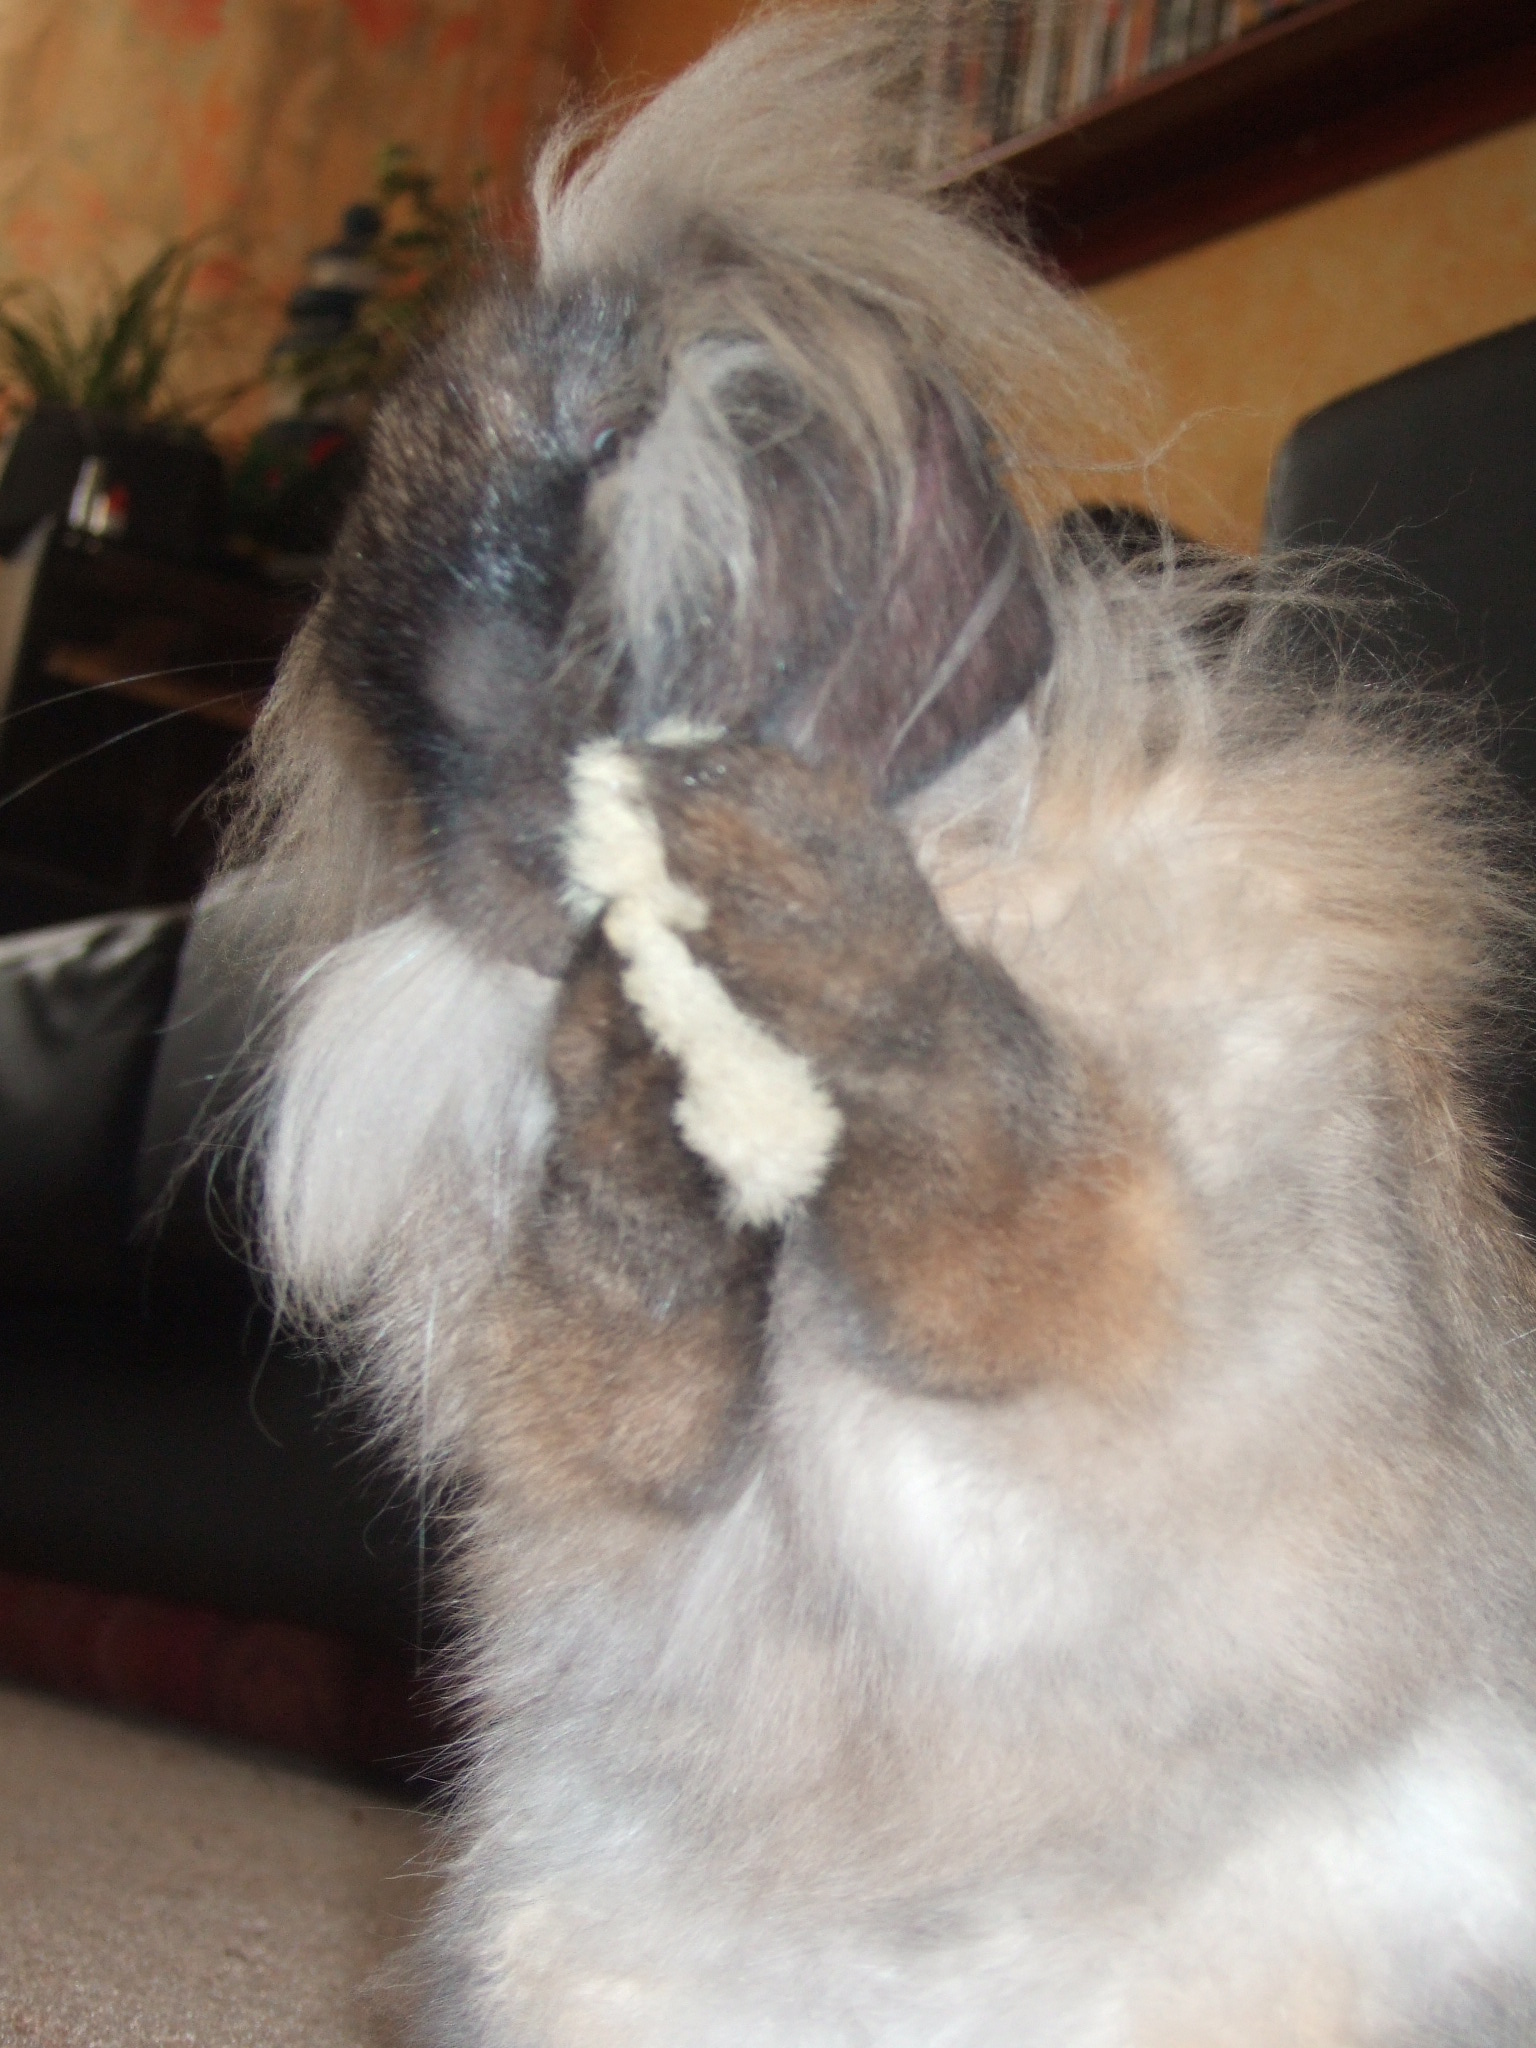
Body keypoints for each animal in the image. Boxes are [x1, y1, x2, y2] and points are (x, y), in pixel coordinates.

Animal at [229, 6, 1536, 2041]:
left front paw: (788, 898)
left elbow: (1010, 1168)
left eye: (611, 444)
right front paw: (627, 1079)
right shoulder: (582, 1406)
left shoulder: (1171, 1218)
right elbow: (626, 1348)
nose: (499, 850)